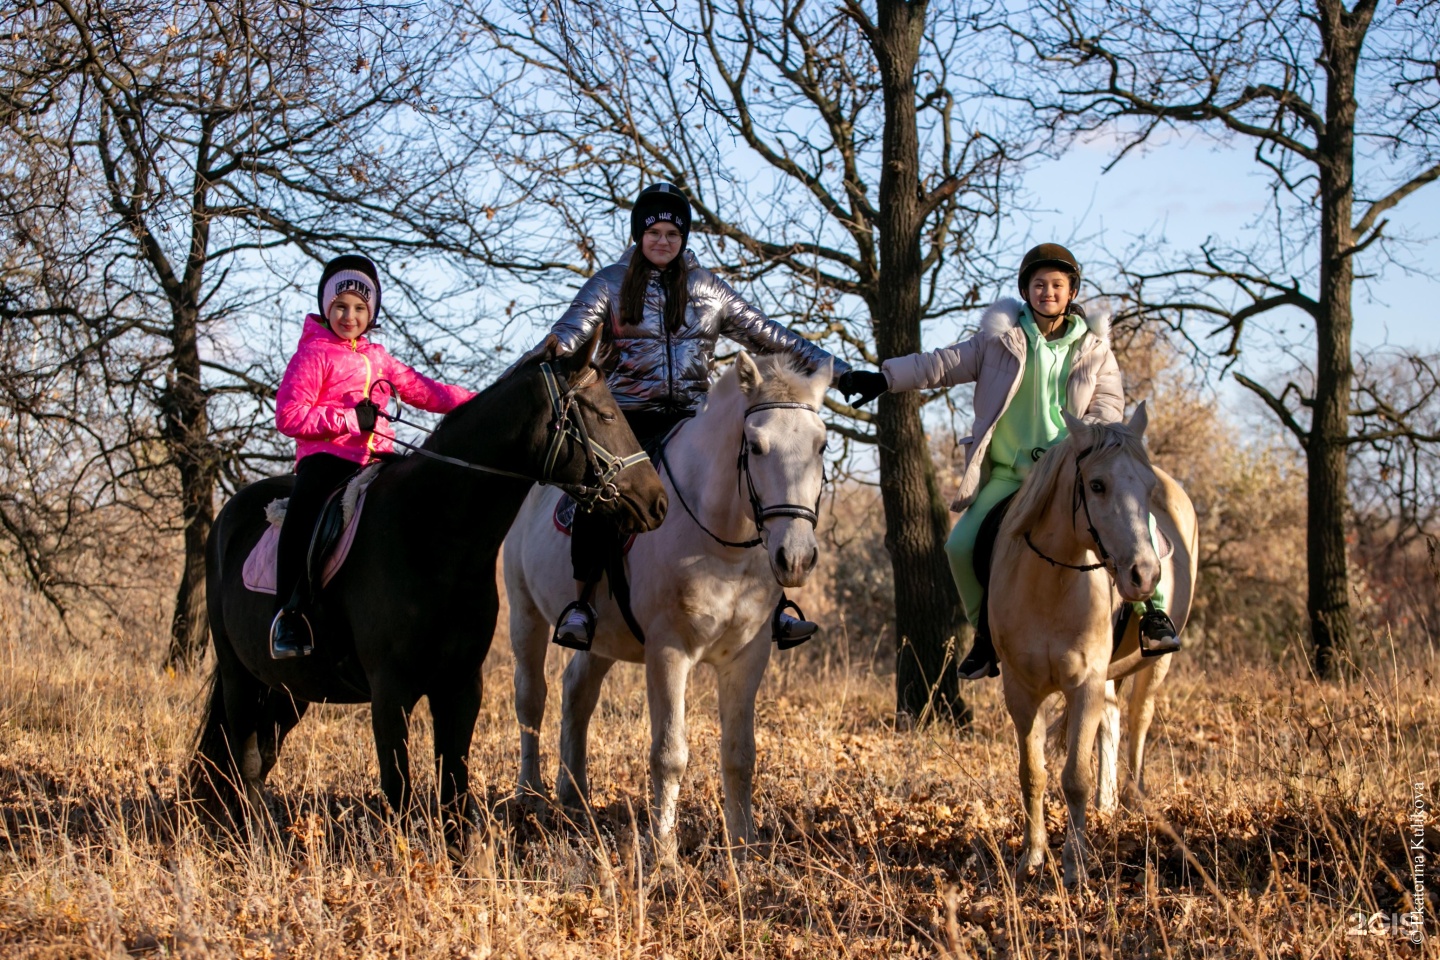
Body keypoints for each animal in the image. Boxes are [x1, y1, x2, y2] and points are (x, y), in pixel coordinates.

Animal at [188, 336, 665, 846]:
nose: (657, 502)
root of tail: (228, 516)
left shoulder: (461, 685)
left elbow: (454, 790)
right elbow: (398, 790)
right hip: (240, 676)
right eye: (607, 414)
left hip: (289, 686)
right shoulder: (390, 693)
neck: (432, 534)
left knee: (261, 755)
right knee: (244, 758)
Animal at [506, 352, 829, 857]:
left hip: (600, 636)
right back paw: (530, 795)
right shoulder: (668, 652)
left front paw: (743, 846)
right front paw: (663, 849)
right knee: (531, 698)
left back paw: (574, 799)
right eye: (756, 447)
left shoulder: (747, 657)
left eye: (822, 446)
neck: (723, 546)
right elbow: (669, 754)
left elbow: (740, 754)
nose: (795, 557)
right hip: (525, 616)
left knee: (577, 693)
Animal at [990, 402, 1203, 886]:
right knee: (1112, 719)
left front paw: (1075, 865)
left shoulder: (1083, 684)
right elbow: (1032, 773)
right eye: (1096, 484)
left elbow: (1074, 779)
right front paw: (1032, 858)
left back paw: (1130, 804)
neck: (1049, 585)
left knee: (1138, 722)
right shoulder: (1021, 692)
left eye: (1147, 489)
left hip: (1153, 666)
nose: (1144, 574)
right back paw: (1107, 805)